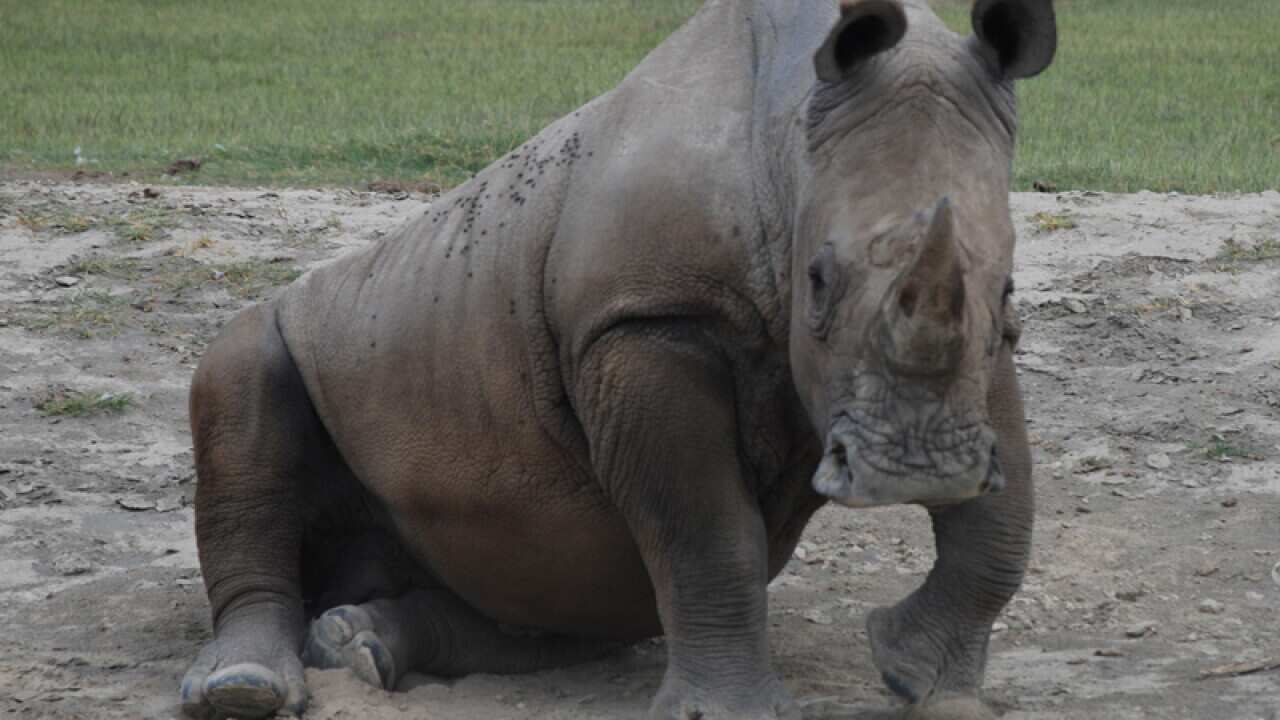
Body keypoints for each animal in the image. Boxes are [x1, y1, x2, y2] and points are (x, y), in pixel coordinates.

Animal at [179, 0, 1056, 717]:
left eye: (1010, 286)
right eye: (817, 282)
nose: (920, 473)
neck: (791, 136)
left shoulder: (985, 348)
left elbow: (1005, 520)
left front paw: (923, 684)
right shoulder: (643, 322)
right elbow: (707, 532)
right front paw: (728, 715)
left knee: (544, 603)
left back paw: (358, 646)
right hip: (314, 326)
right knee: (240, 372)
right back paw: (242, 689)